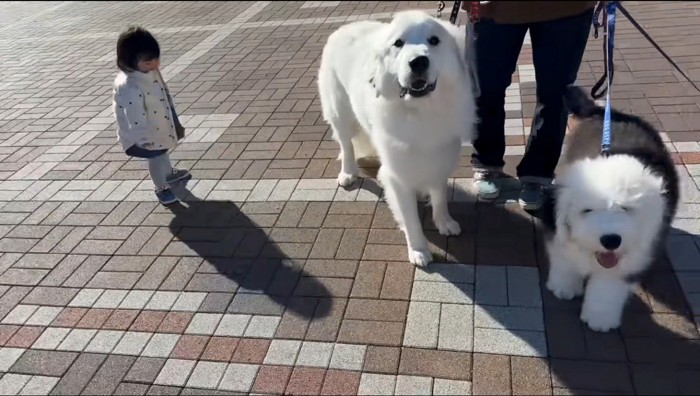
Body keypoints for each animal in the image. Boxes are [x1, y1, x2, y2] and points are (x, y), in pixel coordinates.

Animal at [318, 10, 476, 266]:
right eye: (398, 43)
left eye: (434, 40)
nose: (418, 61)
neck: (421, 111)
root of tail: (343, 29)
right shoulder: (397, 176)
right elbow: (410, 219)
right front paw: (419, 250)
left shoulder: (440, 156)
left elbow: (440, 195)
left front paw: (444, 222)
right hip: (340, 113)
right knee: (346, 144)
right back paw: (348, 173)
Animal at [540, 86, 680, 332]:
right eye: (587, 210)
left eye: (626, 209)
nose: (611, 240)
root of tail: (604, 111)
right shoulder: (558, 223)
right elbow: (565, 256)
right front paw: (564, 287)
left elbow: (608, 287)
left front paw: (599, 319)